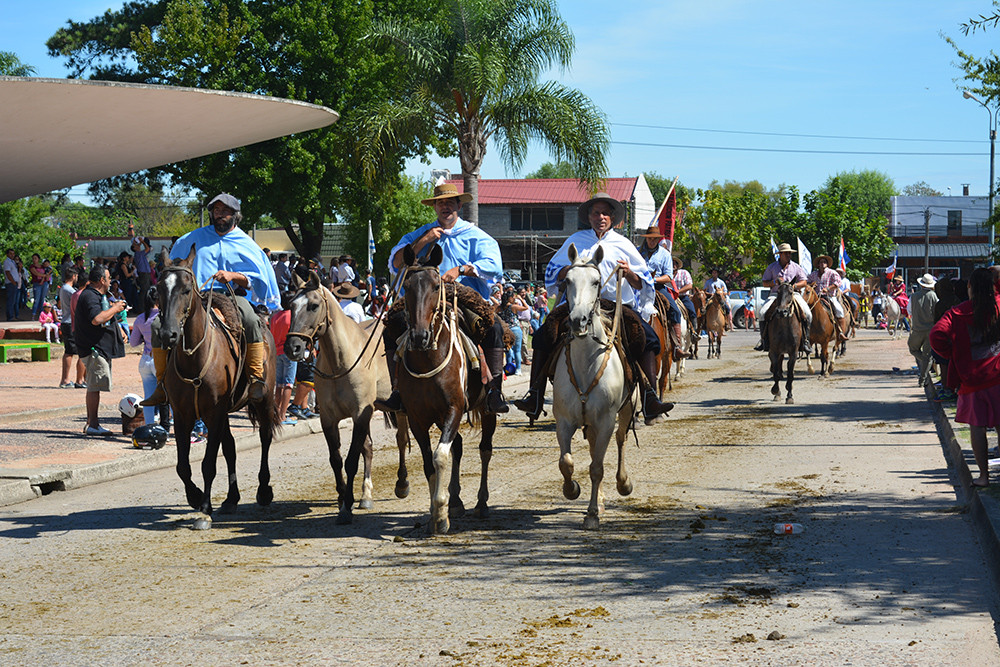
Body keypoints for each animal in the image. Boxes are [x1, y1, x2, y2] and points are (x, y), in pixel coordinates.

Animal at [158, 247, 280, 528]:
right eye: (158, 288)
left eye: (186, 289)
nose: (168, 334)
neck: (195, 357)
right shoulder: (183, 414)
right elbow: (183, 466)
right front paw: (195, 496)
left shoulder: (213, 413)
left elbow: (208, 464)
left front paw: (204, 509)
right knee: (231, 447)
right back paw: (231, 499)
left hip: (263, 399)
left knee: (265, 437)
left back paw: (263, 490)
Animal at [282, 268, 410, 524]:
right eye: (291, 305)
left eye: (313, 305)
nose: (293, 347)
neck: (341, 361)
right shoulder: (329, 419)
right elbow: (337, 460)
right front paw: (344, 497)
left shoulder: (360, 413)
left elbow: (351, 461)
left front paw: (346, 508)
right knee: (369, 448)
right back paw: (366, 495)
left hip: (399, 408)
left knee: (401, 440)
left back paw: (402, 484)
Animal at [394, 243, 496, 536]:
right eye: (407, 286)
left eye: (436, 285)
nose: (419, 337)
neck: (428, 358)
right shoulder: (417, 419)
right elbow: (429, 461)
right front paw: (436, 512)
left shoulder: (454, 409)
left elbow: (440, 456)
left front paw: (440, 515)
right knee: (458, 445)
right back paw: (457, 501)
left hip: (487, 410)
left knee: (485, 449)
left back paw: (481, 503)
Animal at [552, 245, 636, 532]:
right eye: (567, 281)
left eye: (596, 282)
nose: (578, 320)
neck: (587, 363)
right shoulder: (564, 421)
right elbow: (566, 462)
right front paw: (571, 490)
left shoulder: (606, 421)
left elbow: (597, 467)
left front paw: (591, 515)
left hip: (625, 411)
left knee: (621, 441)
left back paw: (623, 483)